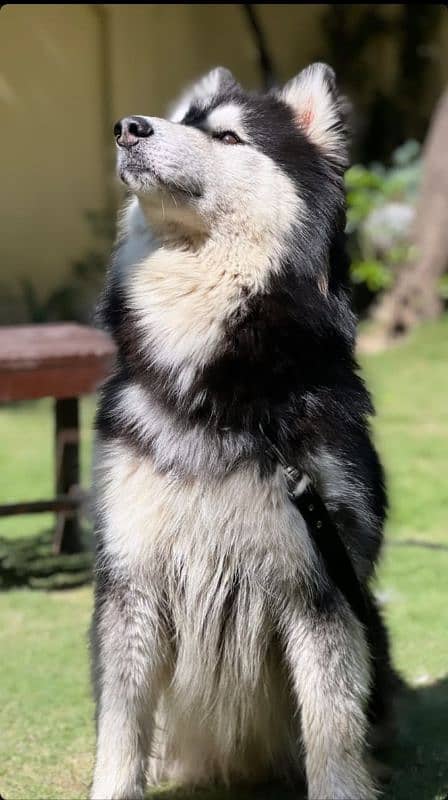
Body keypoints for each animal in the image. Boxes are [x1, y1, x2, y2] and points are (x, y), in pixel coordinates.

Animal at [89, 64, 398, 800]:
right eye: (186, 120)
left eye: (228, 136)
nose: (128, 127)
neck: (220, 388)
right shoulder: (131, 578)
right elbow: (120, 726)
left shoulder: (319, 585)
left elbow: (333, 729)